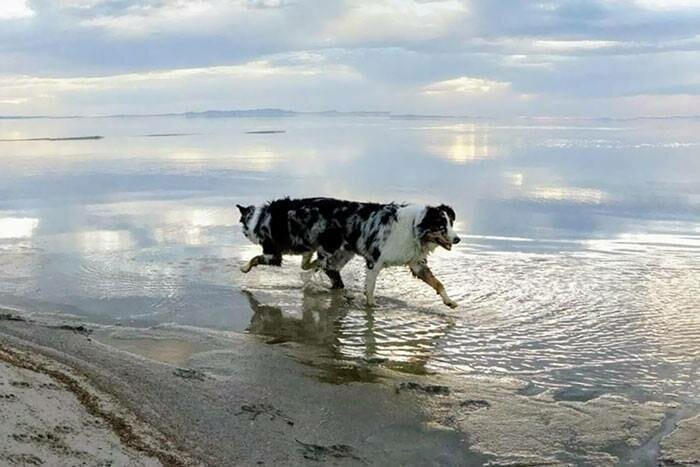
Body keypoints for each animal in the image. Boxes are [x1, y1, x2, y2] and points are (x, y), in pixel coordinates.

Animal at [238, 197, 462, 308]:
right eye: (441, 226)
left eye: (451, 223)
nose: (457, 239)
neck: (415, 228)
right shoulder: (375, 260)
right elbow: (370, 288)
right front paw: (370, 306)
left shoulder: (416, 263)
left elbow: (438, 283)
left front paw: (449, 301)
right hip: (334, 248)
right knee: (325, 267)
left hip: (342, 252)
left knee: (328, 269)